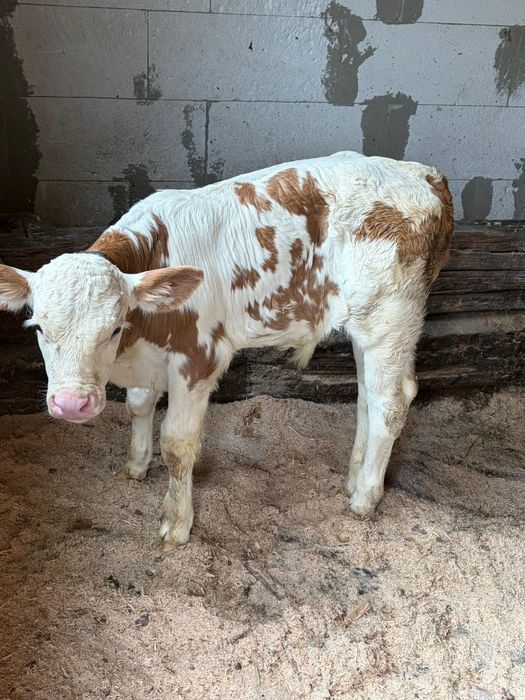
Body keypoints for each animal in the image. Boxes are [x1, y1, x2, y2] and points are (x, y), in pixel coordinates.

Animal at [0, 152, 453, 546]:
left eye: (113, 328)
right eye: (38, 327)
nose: (70, 404)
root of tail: (424, 173)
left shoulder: (199, 358)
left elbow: (178, 444)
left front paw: (176, 522)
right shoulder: (150, 357)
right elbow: (138, 406)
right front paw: (136, 466)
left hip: (391, 317)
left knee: (391, 401)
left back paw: (364, 497)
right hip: (366, 326)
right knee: (367, 396)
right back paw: (353, 477)